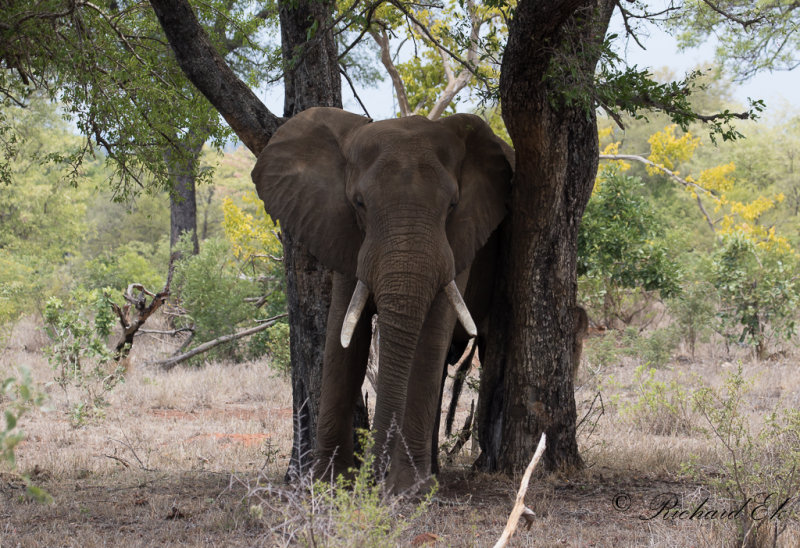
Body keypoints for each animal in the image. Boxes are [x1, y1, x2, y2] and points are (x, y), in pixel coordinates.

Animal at [250, 107, 512, 492]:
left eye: (452, 205)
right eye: (359, 203)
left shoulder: (462, 237)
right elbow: (343, 335)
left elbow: (432, 333)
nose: (372, 480)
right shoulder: (343, 231)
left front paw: (407, 490)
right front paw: (327, 484)